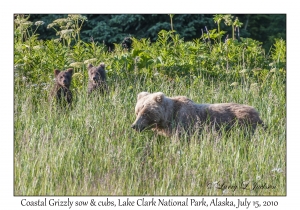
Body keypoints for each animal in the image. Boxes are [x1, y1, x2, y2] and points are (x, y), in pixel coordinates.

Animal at [131, 92, 264, 138]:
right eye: (137, 112)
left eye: (146, 113)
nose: (134, 126)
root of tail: (257, 113)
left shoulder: (184, 124)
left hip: (243, 125)